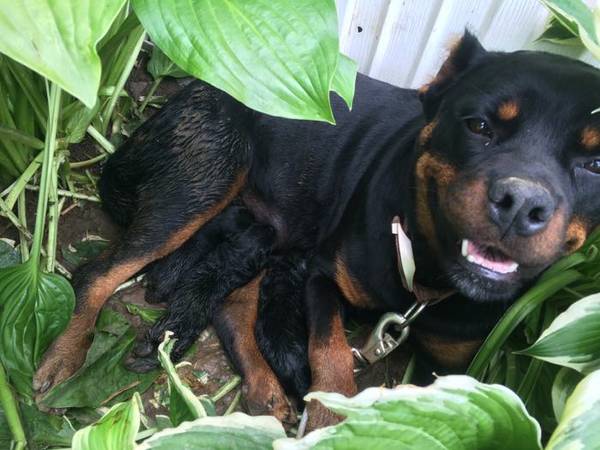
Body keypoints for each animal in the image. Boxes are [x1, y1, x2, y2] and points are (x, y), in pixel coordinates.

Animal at [35, 32, 600, 428]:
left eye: (594, 163)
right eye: (478, 126)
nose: (519, 202)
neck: (424, 273)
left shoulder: (456, 368)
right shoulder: (321, 277)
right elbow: (329, 355)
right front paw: (332, 418)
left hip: (268, 230)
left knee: (230, 307)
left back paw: (263, 387)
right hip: (204, 182)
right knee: (99, 273)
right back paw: (64, 358)